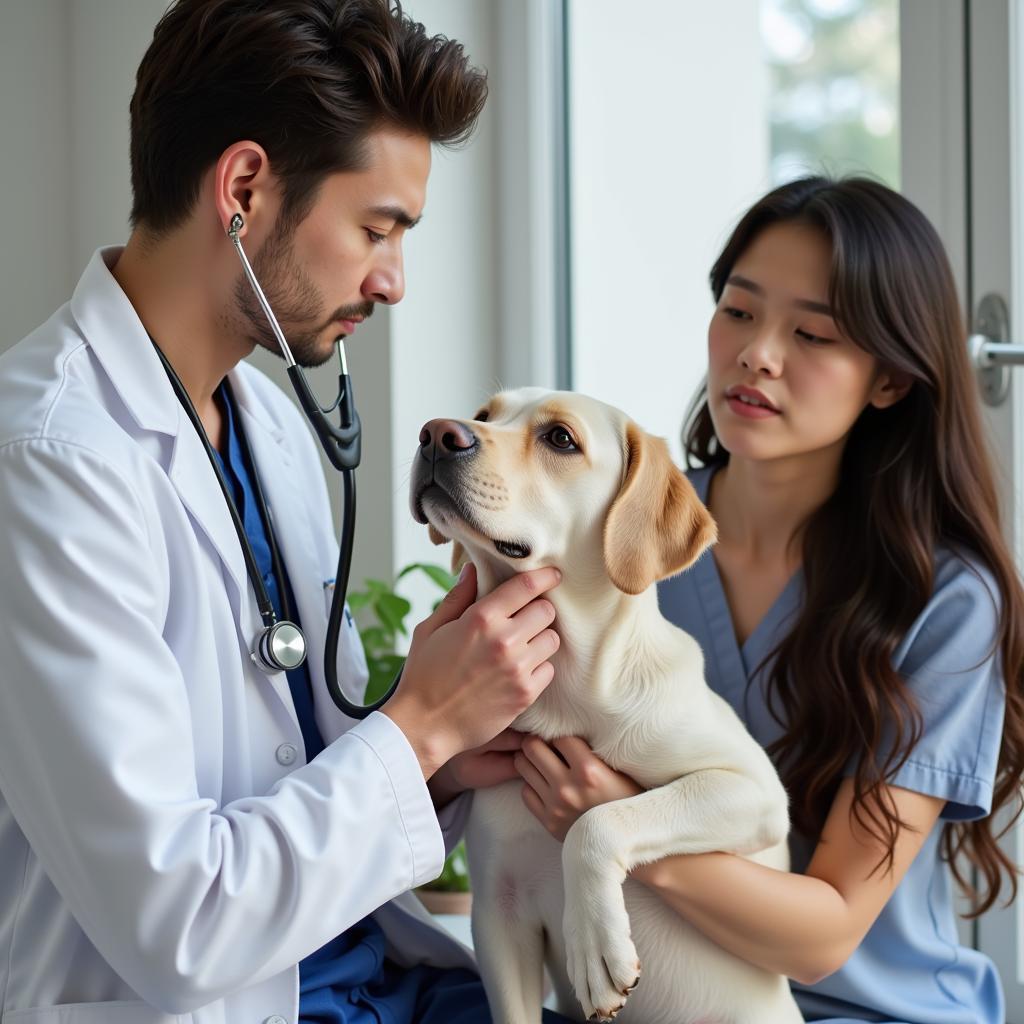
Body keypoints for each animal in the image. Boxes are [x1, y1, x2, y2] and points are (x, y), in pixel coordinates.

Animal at [407, 389, 798, 1024]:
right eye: (486, 415)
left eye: (560, 439)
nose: (437, 433)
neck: (570, 695)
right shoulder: (497, 917)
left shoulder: (753, 791)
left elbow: (598, 820)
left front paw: (594, 944)